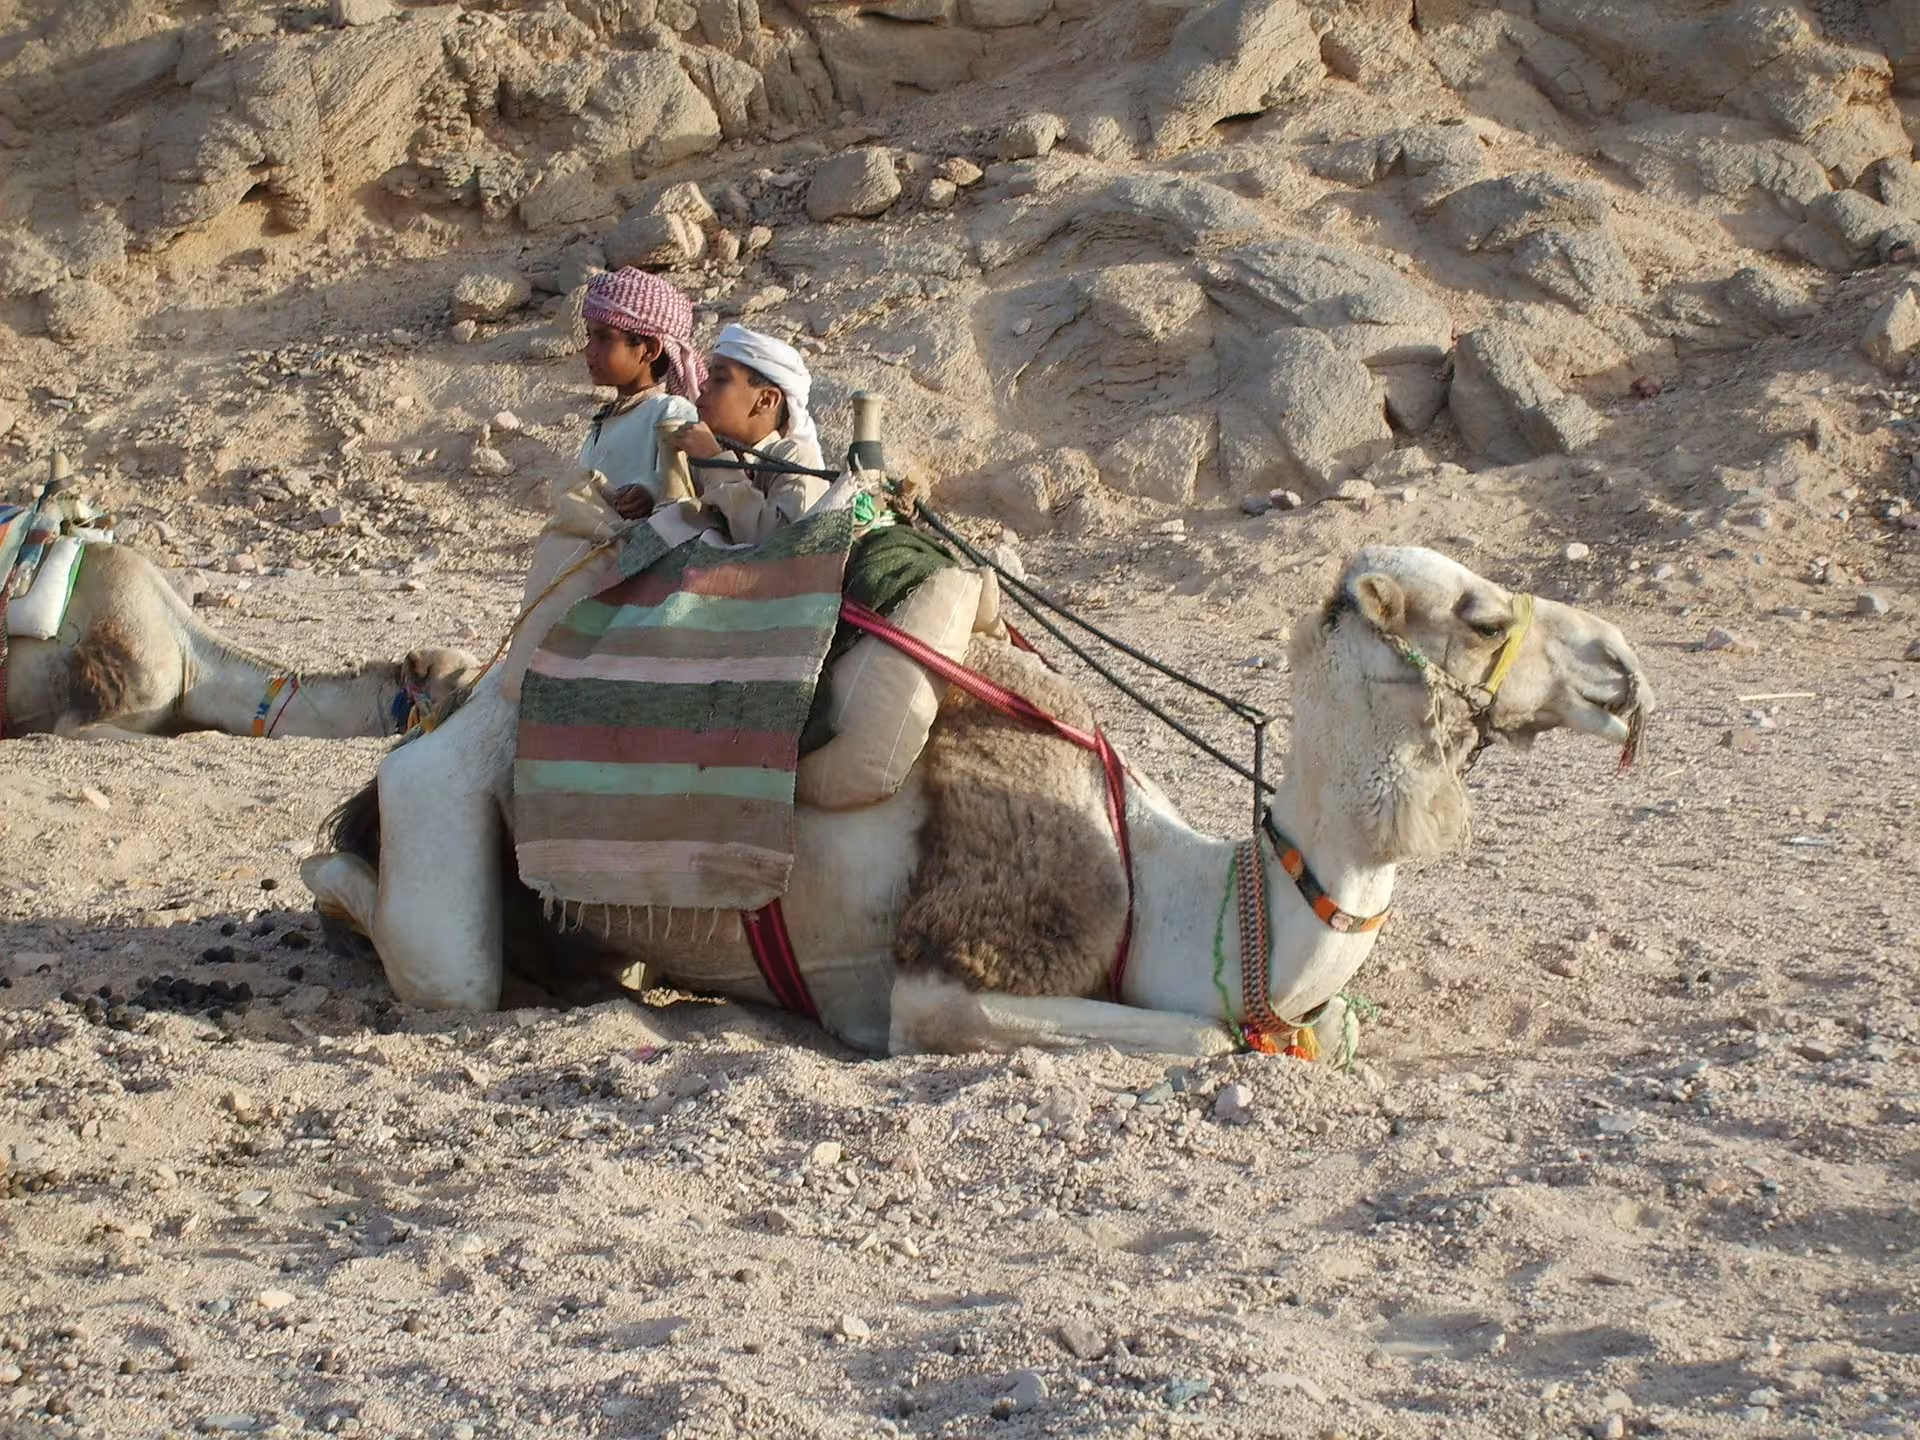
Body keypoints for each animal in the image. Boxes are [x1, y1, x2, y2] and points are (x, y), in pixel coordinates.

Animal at [300, 526, 1652, 1060]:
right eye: (1479, 614)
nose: (1624, 670)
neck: (1184, 894)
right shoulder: (947, 982)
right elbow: (1208, 1034)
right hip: (445, 805)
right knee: (413, 930)